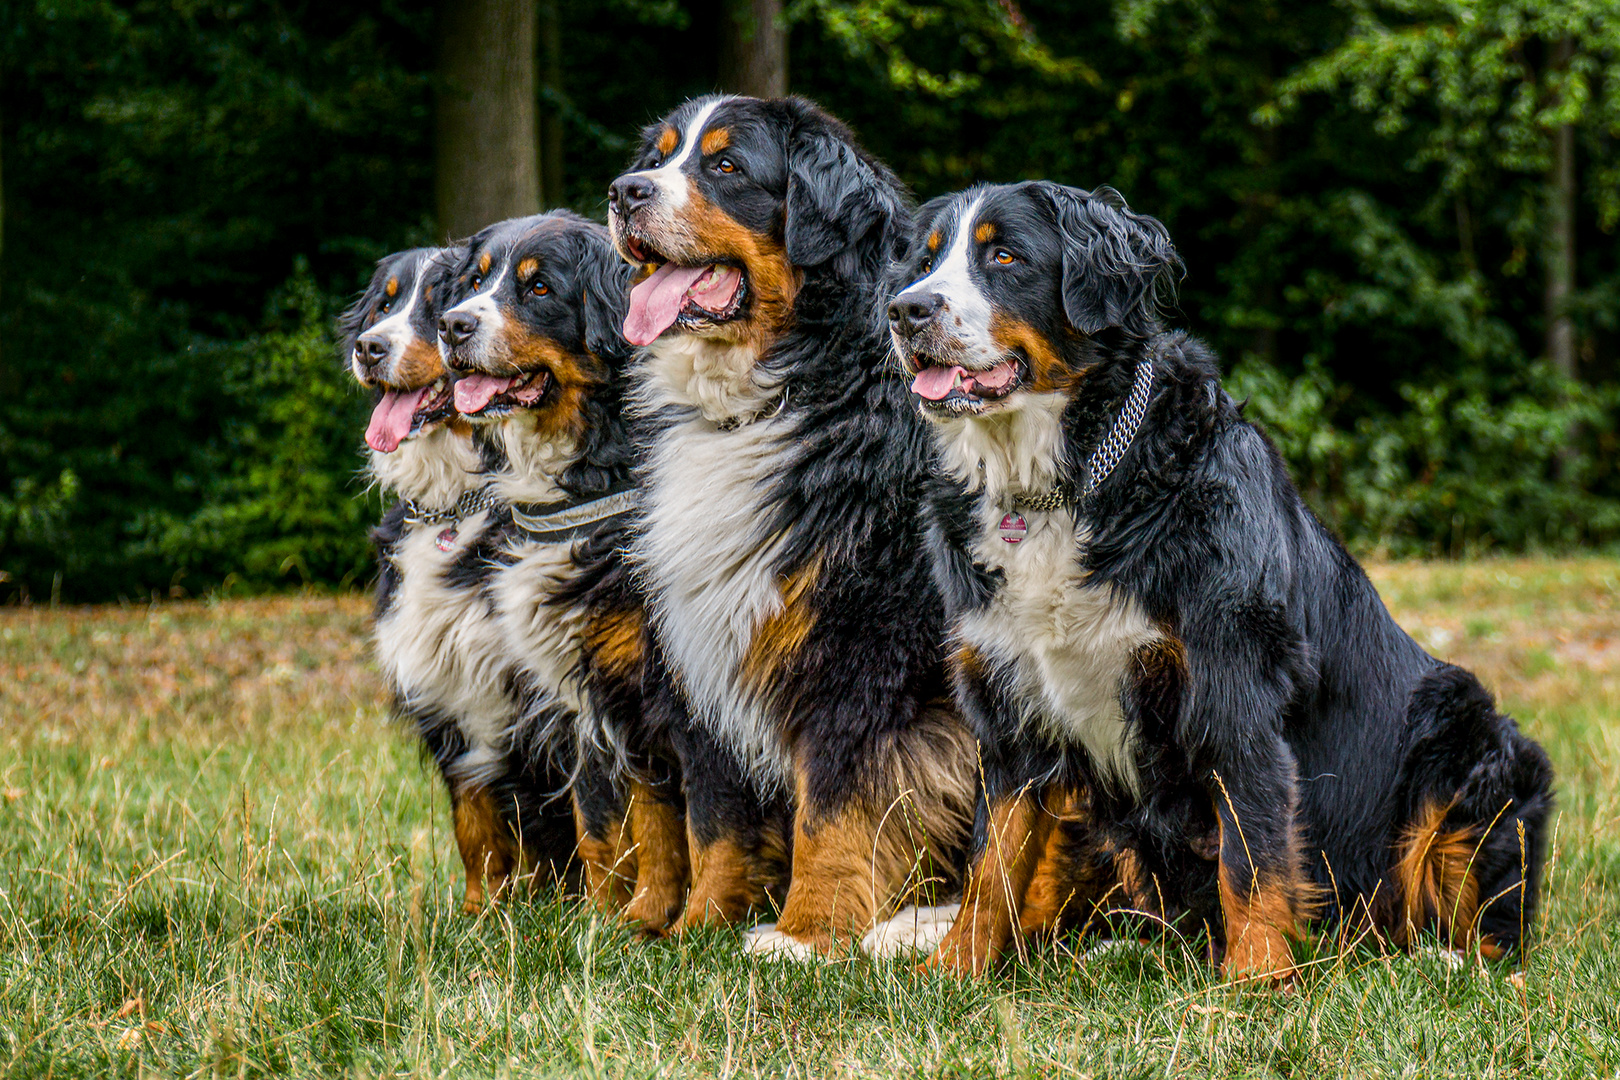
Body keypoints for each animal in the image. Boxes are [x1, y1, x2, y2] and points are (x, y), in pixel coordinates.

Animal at [605, 95, 972, 952]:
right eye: (658, 157)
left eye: (726, 165)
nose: (624, 192)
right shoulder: (701, 643)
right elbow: (717, 815)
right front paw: (699, 927)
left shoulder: (860, 648)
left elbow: (832, 807)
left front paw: (807, 933)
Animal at [887, 181, 1555, 984]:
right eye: (925, 261)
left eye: (1006, 255)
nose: (905, 310)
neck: (1063, 487)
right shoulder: (1010, 704)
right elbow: (992, 863)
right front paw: (952, 971)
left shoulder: (1233, 682)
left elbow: (1255, 851)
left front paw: (1256, 980)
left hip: (1466, 731)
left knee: (1479, 913)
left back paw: (1450, 963)